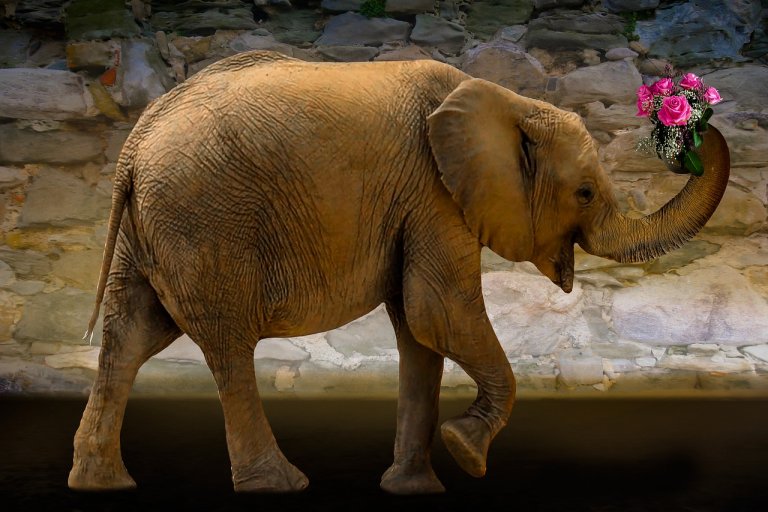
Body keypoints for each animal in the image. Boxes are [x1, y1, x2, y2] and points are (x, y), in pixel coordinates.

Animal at [68, 50, 730, 495]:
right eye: (586, 193)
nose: (686, 109)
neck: (511, 102)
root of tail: (134, 146)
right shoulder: (434, 194)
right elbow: (438, 312)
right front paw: (467, 454)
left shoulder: (416, 203)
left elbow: (419, 332)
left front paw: (415, 487)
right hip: (205, 223)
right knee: (226, 346)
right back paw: (279, 484)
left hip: (150, 229)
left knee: (131, 336)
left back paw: (100, 482)